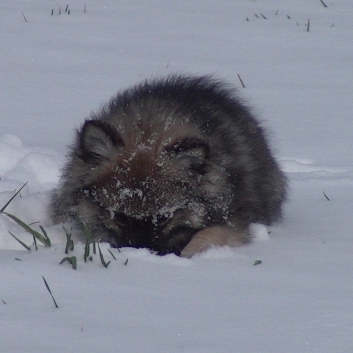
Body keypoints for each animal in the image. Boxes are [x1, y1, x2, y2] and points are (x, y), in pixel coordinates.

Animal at [50, 74, 286, 256]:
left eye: (163, 218)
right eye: (120, 217)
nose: (141, 251)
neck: (148, 132)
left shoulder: (232, 221)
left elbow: (208, 235)